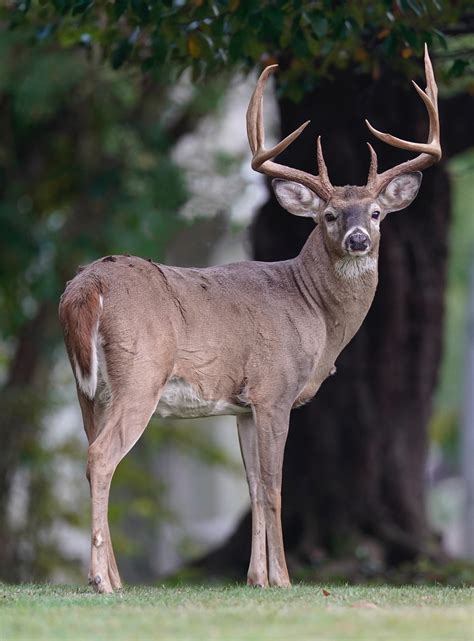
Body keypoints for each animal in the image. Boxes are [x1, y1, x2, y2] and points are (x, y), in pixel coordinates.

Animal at [58, 47, 440, 592]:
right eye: (328, 216)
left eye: (376, 213)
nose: (358, 240)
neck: (312, 310)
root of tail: (86, 287)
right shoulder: (274, 389)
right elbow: (276, 486)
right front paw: (283, 578)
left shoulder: (241, 405)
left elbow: (254, 486)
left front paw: (256, 577)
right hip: (139, 374)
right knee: (102, 457)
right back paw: (102, 581)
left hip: (87, 389)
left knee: (92, 457)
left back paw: (115, 578)